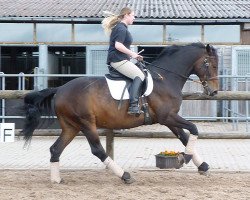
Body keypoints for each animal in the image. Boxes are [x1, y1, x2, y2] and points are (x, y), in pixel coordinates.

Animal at [20, 43, 219, 184]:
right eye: (211, 65)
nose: (214, 91)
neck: (165, 78)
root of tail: (60, 89)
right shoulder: (167, 117)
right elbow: (193, 129)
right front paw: (185, 158)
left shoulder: (169, 119)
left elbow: (184, 137)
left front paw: (202, 166)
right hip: (86, 123)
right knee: (97, 150)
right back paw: (125, 175)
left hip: (71, 126)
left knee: (56, 149)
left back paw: (56, 180)